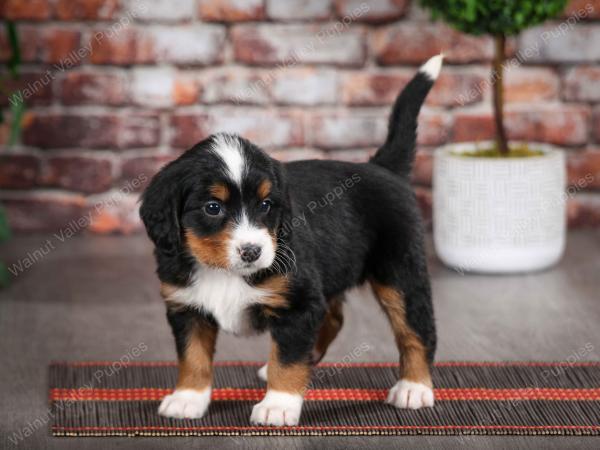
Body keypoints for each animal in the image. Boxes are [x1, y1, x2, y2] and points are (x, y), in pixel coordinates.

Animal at [139, 53, 440, 426]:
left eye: (266, 205)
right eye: (212, 208)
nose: (252, 251)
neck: (222, 272)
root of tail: (382, 167)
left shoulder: (298, 303)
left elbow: (288, 358)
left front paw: (278, 405)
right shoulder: (187, 307)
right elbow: (192, 357)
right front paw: (187, 398)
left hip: (399, 272)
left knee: (416, 329)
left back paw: (414, 387)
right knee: (333, 317)